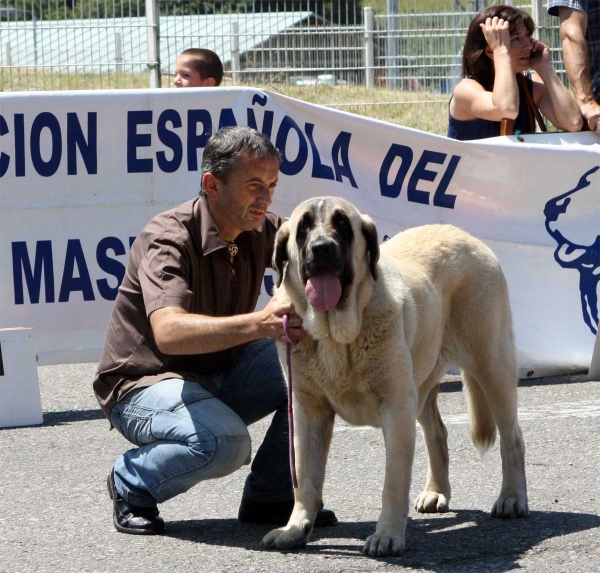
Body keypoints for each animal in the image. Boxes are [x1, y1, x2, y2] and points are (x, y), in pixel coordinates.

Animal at [264, 196, 528, 556]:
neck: (336, 337)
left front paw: (387, 535)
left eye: (342, 224)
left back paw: (512, 498)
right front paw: (295, 528)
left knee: (512, 436)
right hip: (423, 382)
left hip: (491, 365)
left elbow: (393, 480)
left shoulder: (396, 408)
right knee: (437, 432)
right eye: (304, 227)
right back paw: (436, 491)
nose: (321, 248)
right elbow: (305, 476)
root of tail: (465, 235)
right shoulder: (308, 412)